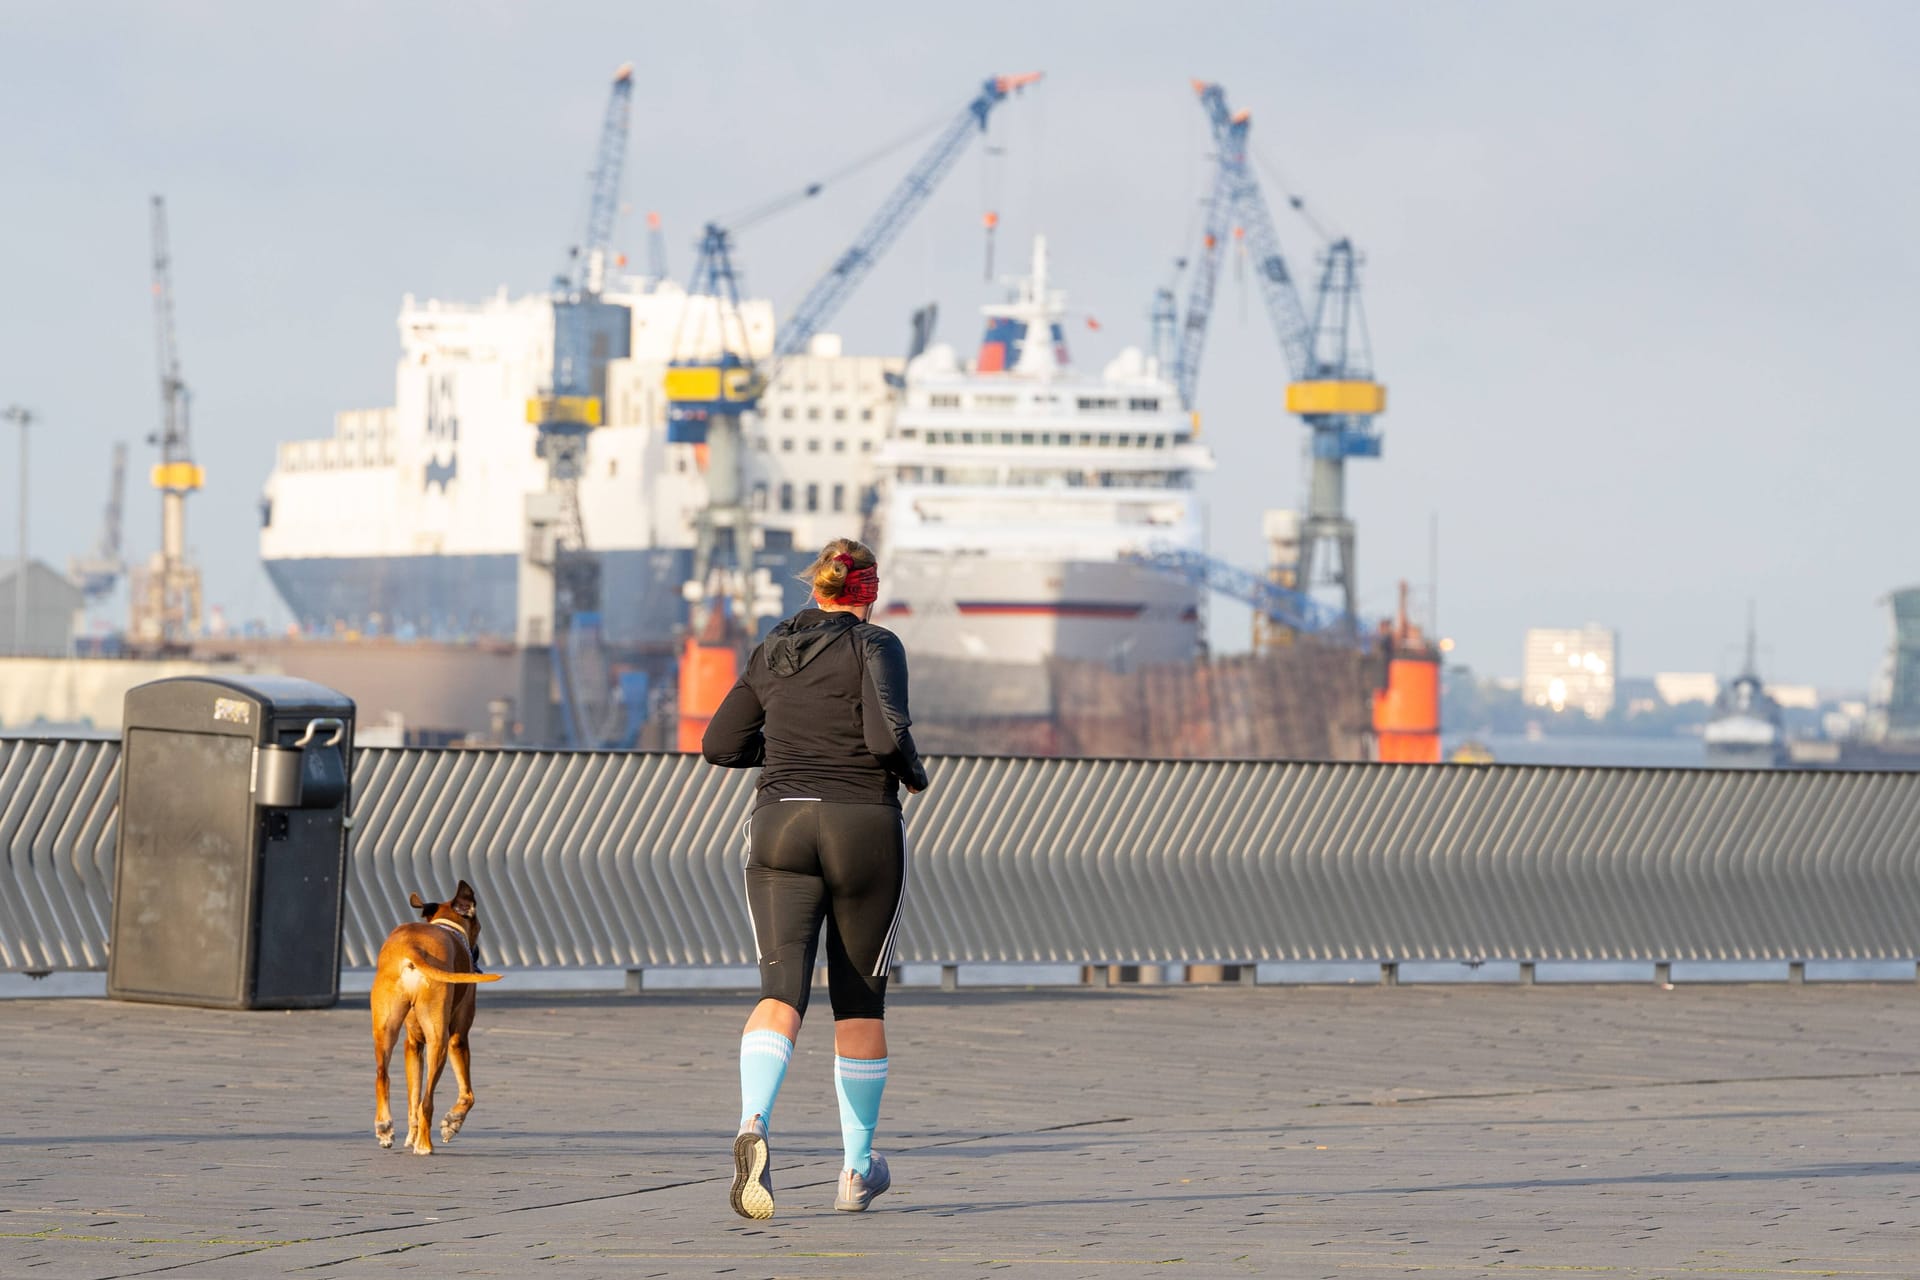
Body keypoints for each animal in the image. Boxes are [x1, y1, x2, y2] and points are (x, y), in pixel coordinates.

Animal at [368, 886, 503, 1159]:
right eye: (479, 925)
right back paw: (425, 1145)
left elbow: (412, 1099)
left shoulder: (412, 1044)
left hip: (385, 1029)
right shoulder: (457, 1039)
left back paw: (385, 1128)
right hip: (439, 1039)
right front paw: (452, 1122)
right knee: (427, 1100)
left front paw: (410, 1136)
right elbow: (467, 1095)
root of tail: (412, 948)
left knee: (382, 1076)